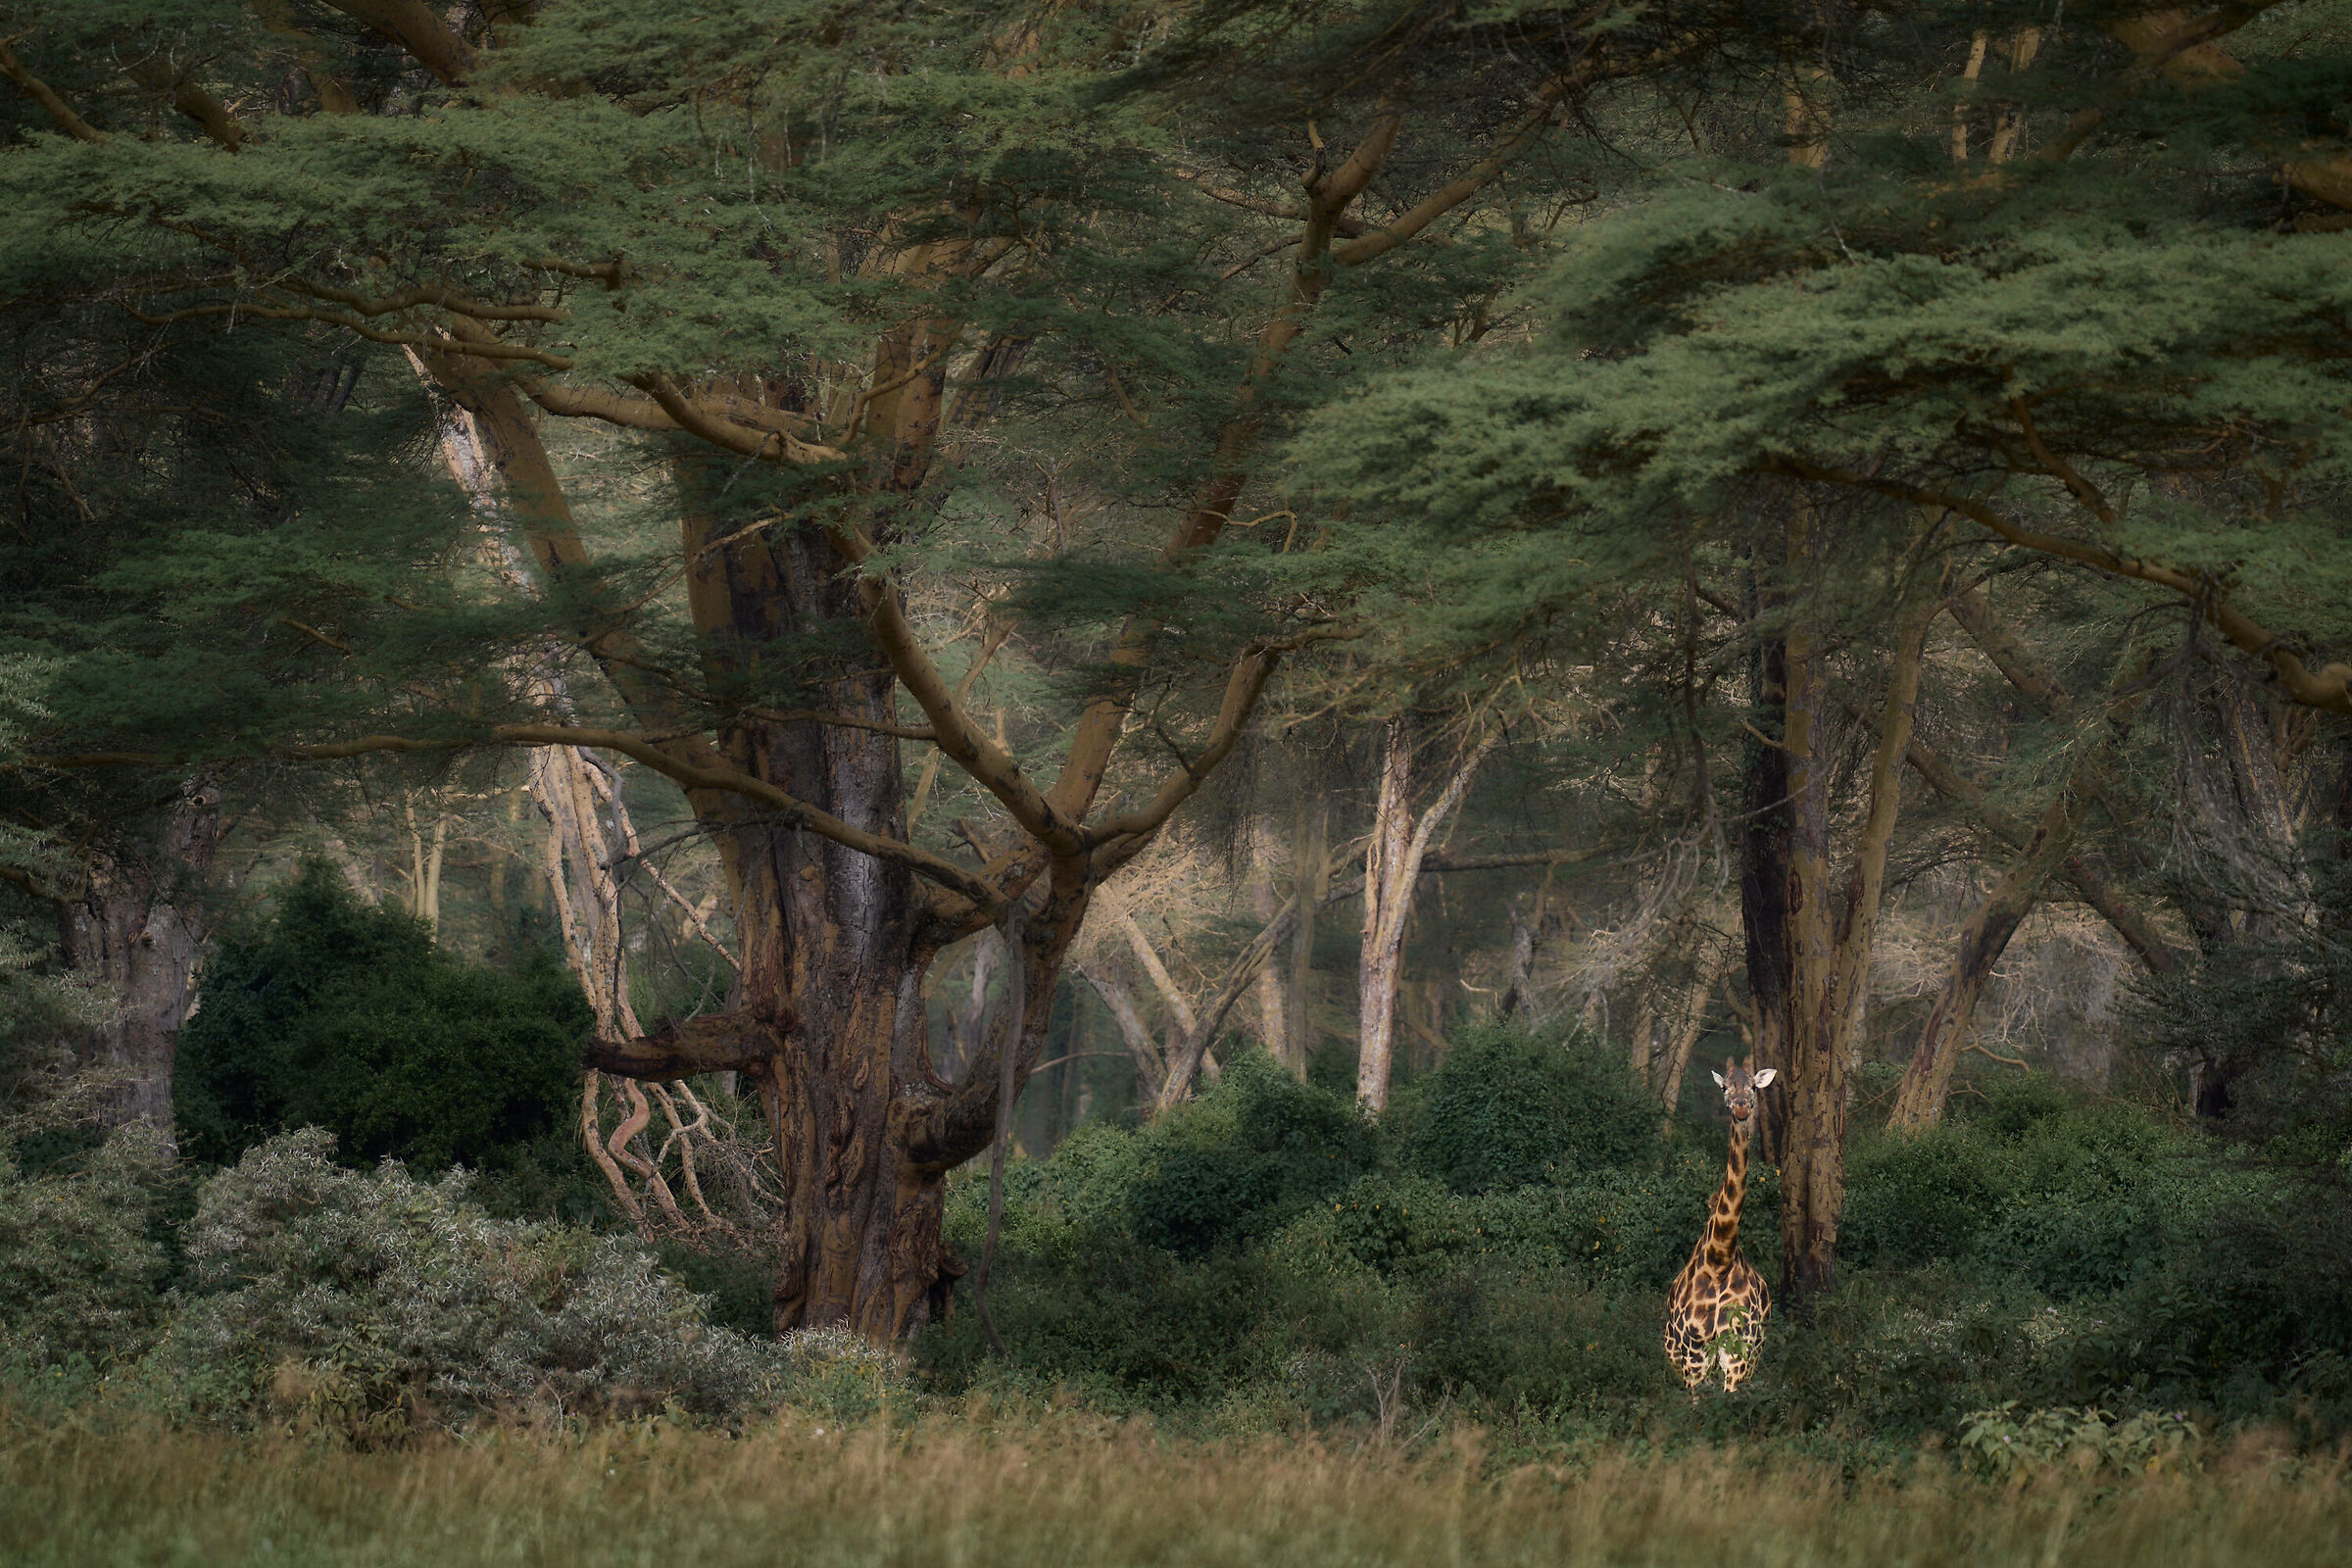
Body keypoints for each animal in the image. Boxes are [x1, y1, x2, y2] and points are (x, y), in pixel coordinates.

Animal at [1663, 1060, 1777, 1393]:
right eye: (1724, 1087)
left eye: (1753, 1086)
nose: (1740, 1108)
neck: (1719, 1259)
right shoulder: (1694, 1352)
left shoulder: (1738, 1354)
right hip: (1675, 1352)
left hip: (1753, 1356)